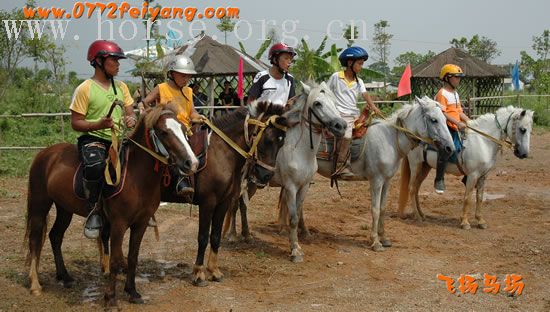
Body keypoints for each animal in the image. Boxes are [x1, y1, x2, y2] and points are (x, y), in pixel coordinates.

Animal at [25, 103, 199, 306]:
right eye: (164, 132)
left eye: (184, 130)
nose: (191, 163)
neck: (136, 177)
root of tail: (45, 153)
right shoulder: (119, 224)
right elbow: (115, 260)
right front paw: (110, 298)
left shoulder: (141, 223)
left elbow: (132, 257)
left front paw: (132, 292)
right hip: (39, 204)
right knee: (35, 240)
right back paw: (35, 285)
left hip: (64, 209)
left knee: (55, 236)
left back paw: (65, 277)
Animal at [162, 101, 300, 286]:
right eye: (267, 140)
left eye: (281, 143)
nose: (266, 175)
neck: (221, 152)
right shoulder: (208, 203)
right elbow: (203, 237)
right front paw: (199, 273)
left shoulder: (223, 202)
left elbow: (215, 236)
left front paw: (214, 271)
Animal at [222, 80, 348, 260]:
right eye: (317, 103)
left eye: (335, 102)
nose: (341, 126)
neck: (300, 151)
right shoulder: (290, 187)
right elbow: (293, 217)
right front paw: (295, 250)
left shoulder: (304, 186)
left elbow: (298, 212)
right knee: (234, 203)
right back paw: (232, 235)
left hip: (254, 183)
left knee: (243, 204)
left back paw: (247, 235)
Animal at [398, 106, 536, 228]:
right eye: (522, 129)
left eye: (530, 130)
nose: (524, 154)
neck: (483, 141)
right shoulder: (472, 175)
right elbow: (468, 198)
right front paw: (464, 222)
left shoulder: (483, 176)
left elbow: (479, 197)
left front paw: (480, 221)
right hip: (416, 165)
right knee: (412, 188)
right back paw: (417, 216)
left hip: (425, 167)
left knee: (416, 189)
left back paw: (421, 214)